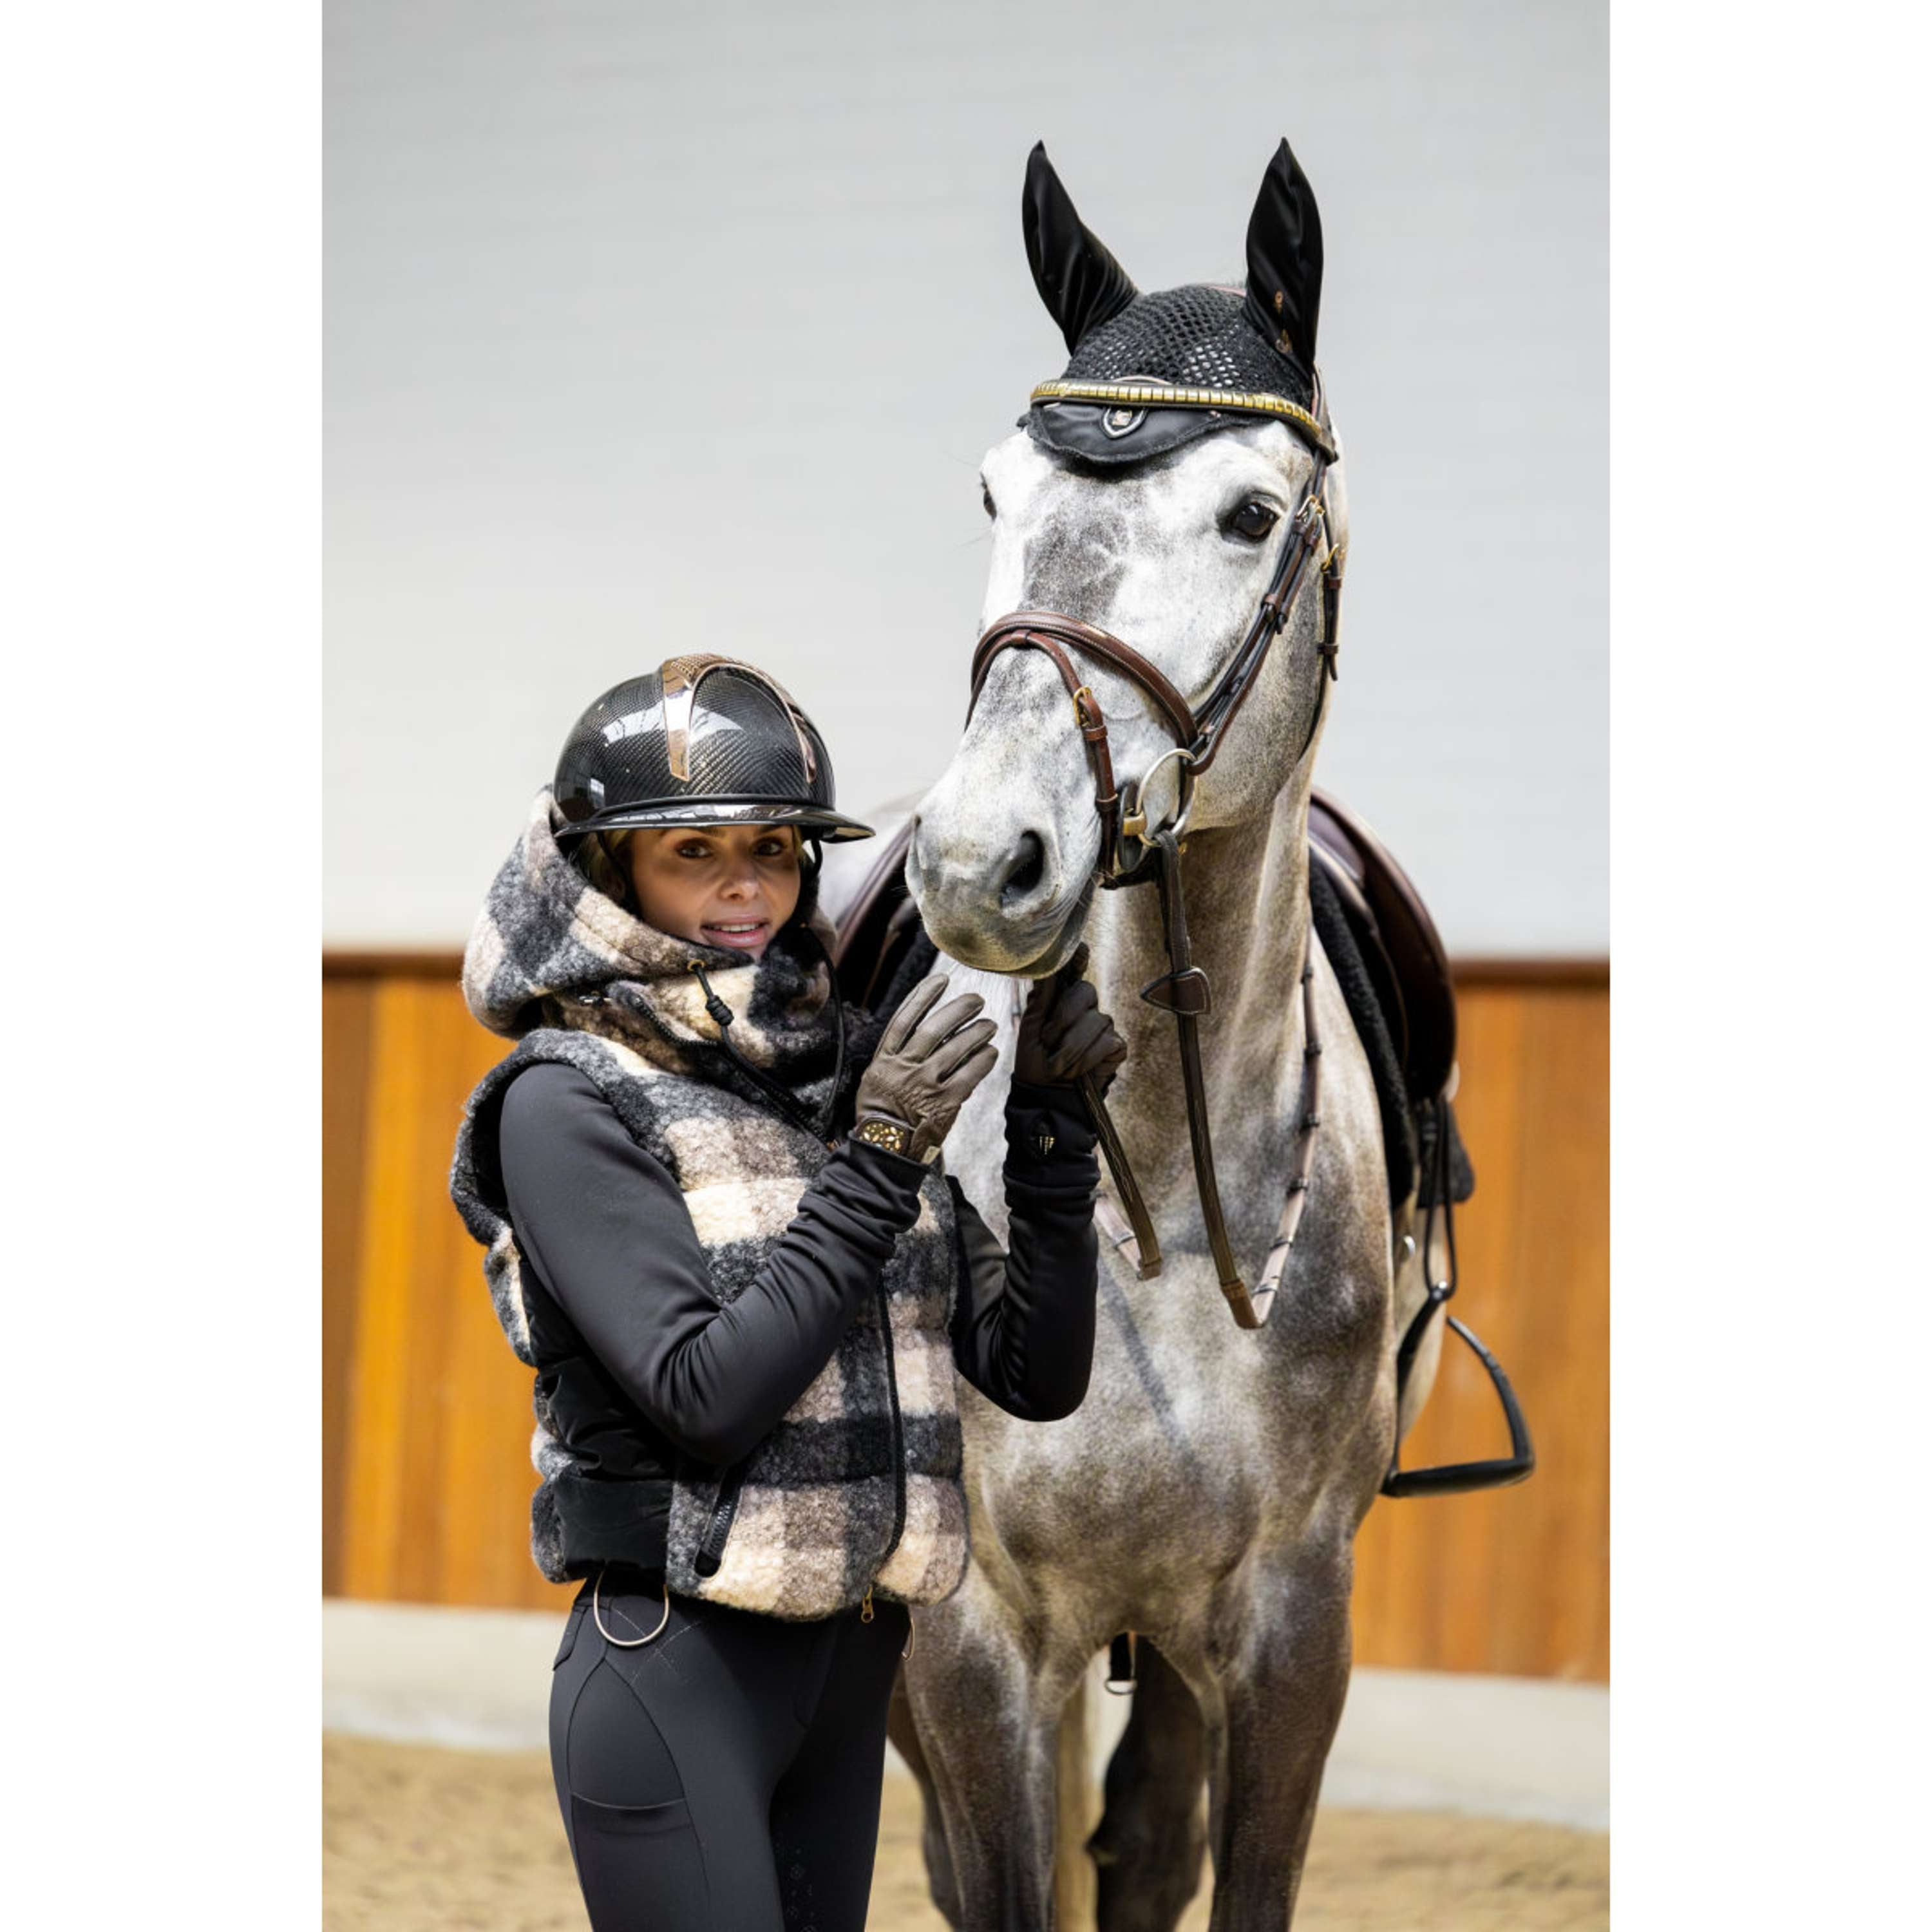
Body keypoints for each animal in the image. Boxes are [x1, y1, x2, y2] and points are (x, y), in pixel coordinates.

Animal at [871, 143, 1456, 1931]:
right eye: (997, 495)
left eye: (1251, 514)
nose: (979, 859)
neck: (1162, 1203)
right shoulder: (972, 1639)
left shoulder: (1288, 1634)